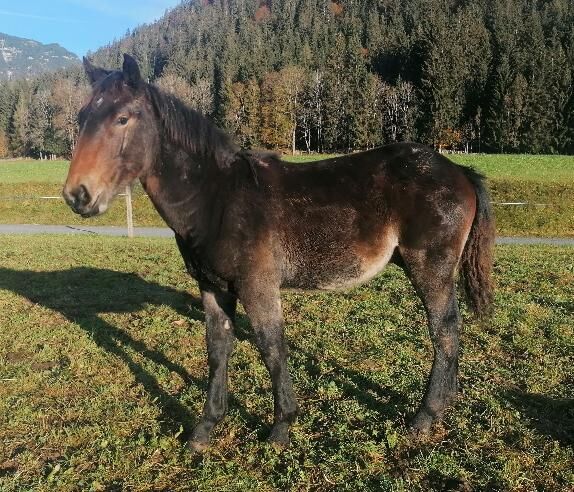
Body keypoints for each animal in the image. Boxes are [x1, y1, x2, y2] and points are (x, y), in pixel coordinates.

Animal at [62, 54, 496, 454]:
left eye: (122, 118)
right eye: (81, 117)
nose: (77, 195)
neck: (217, 198)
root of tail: (457, 169)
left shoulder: (258, 286)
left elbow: (272, 349)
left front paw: (281, 429)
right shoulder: (213, 288)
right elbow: (218, 351)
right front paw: (204, 430)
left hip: (430, 267)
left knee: (444, 331)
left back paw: (425, 417)